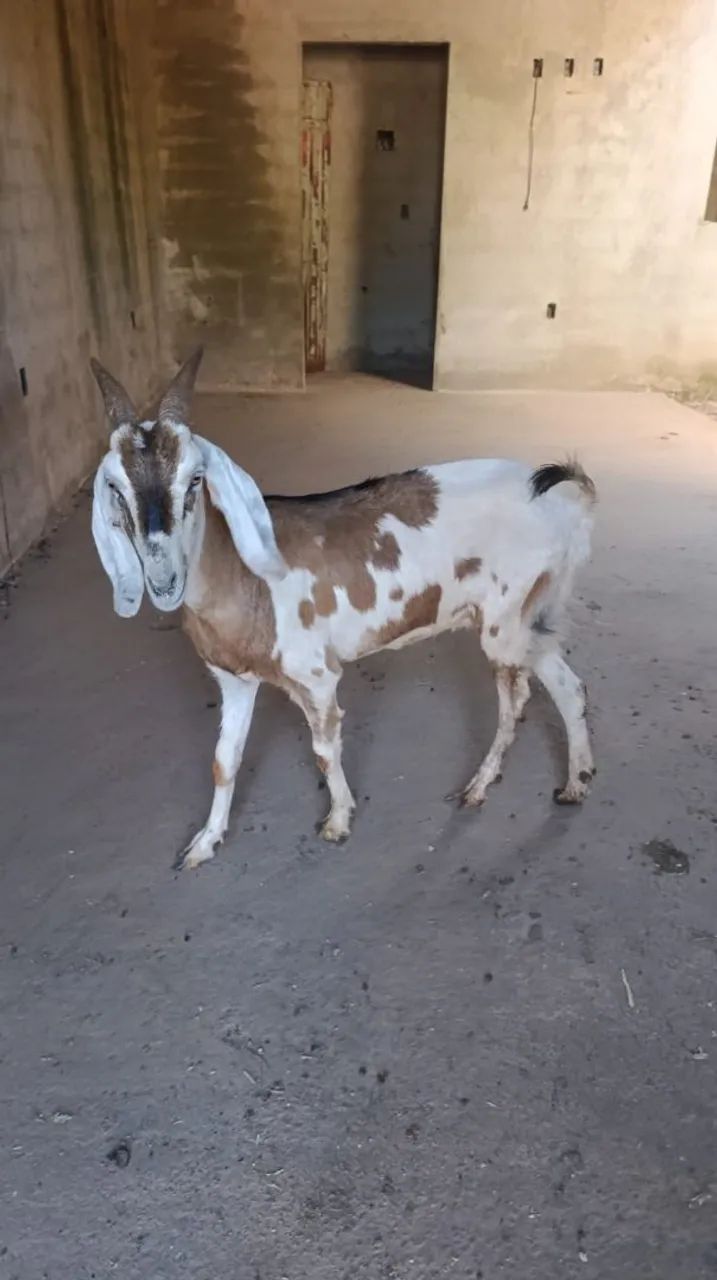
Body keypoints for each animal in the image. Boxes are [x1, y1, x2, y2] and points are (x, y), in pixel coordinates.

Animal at [90, 349, 596, 870]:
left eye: (194, 478)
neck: (242, 575)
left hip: (505, 618)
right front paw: (204, 843)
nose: (163, 579)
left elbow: (323, 751)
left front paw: (337, 820)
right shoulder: (234, 679)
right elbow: (223, 761)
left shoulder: (316, 675)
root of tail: (566, 501)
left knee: (516, 702)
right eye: (114, 486)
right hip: (534, 617)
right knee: (568, 686)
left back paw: (478, 787)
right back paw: (575, 783)